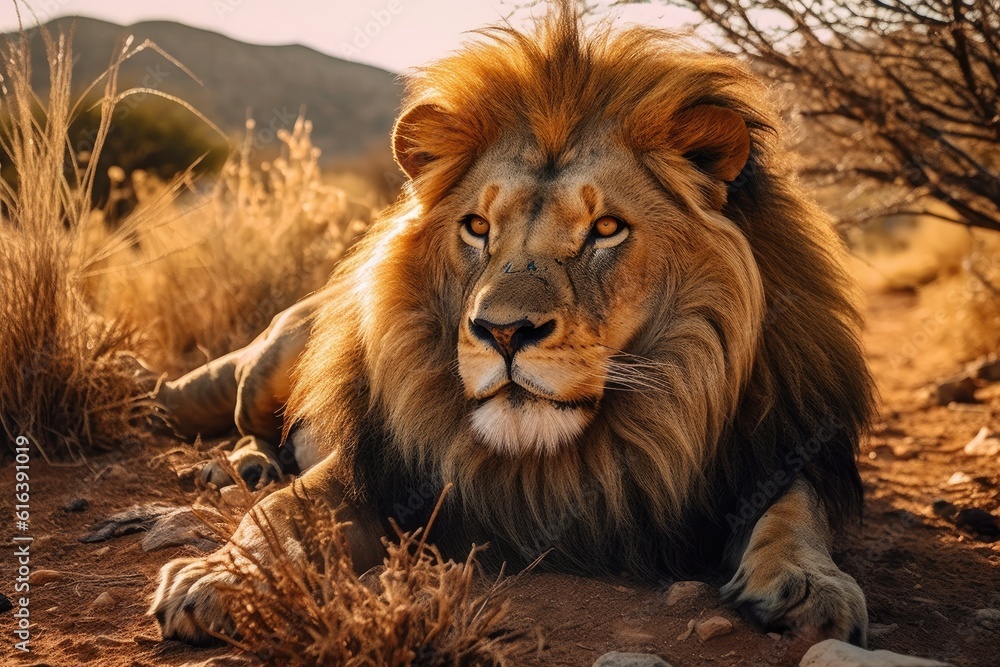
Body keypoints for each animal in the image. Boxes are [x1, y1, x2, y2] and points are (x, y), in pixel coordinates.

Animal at [150, 3, 876, 649]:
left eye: (606, 228)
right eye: (477, 226)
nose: (501, 332)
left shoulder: (784, 442)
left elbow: (796, 508)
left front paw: (811, 586)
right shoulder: (374, 465)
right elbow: (278, 514)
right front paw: (217, 574)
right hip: (271, 367)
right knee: (242, 422)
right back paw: (247, 462)